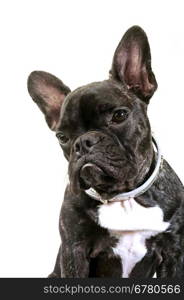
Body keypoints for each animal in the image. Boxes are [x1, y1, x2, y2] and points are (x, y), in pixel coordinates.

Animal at [27, 26, 184, 278]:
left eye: (119, 116)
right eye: (62, 137)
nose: (83, 142)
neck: (123, 197)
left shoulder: (174, 253)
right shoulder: (74, 250)